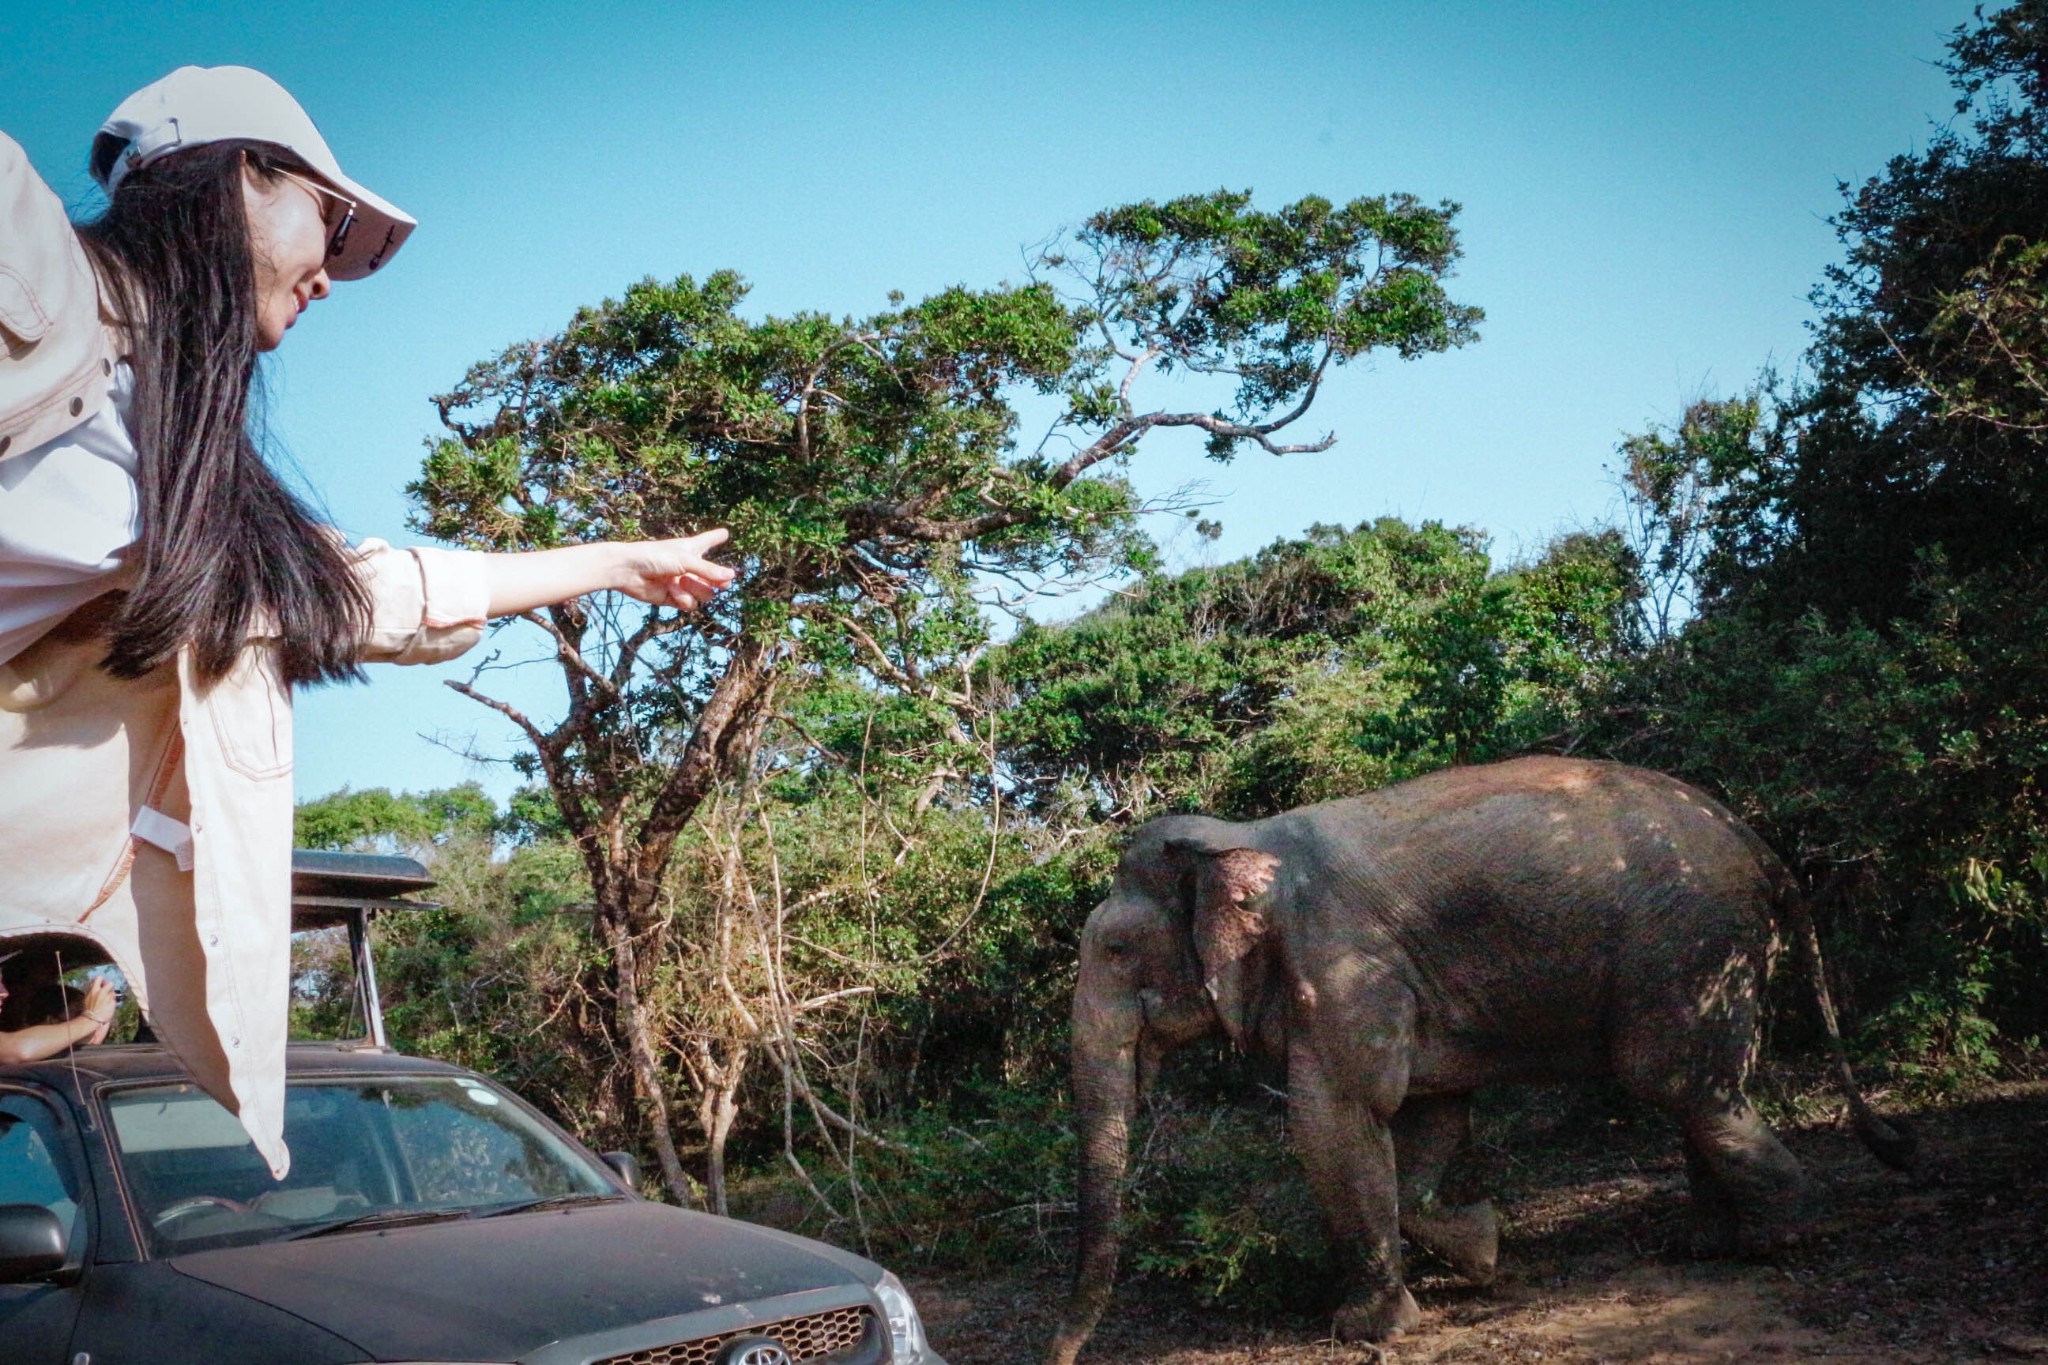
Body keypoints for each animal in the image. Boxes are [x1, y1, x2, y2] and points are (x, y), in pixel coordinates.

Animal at [1048, 757, 1908, 1365]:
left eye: (1116, 949)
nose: (1060, 1355)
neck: (1238, 835)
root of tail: (1759, 845)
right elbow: (1428, 1114)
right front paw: (1481, 1247)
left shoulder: (1343, 965)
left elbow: (1339, 1119)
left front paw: (1366, 1329)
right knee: (1701, 1086)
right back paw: (1705, 1244)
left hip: (1688, 938)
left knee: (1674, 1080)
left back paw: (1777, 1240)